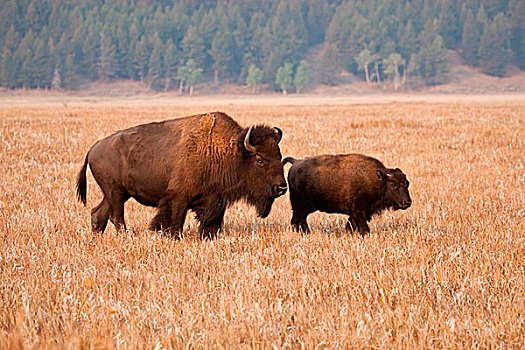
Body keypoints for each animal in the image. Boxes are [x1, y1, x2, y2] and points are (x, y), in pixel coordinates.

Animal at [282, 153, 410, 235]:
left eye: (407, 183)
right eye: (393, 184)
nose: (407, 202)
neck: (377, 179)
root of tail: (295, 162)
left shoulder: (359, 213)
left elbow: (350, 226)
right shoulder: (359, 211)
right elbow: (364, 229)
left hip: (306, 208)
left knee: (300, 220)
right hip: (299, 206)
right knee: (296, 220)